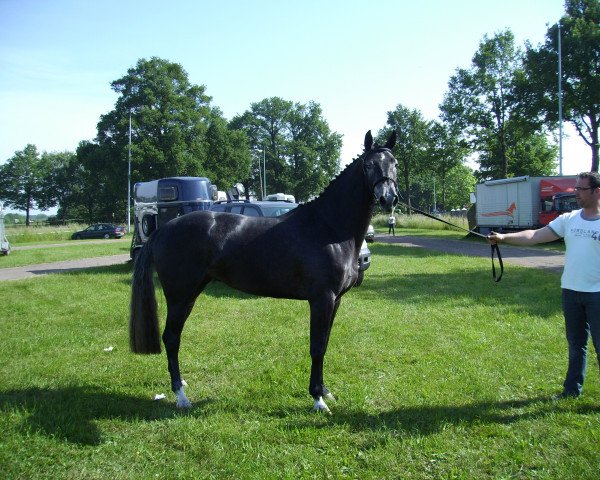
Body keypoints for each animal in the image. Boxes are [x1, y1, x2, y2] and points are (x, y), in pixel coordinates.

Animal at [129, 130, 396, 412]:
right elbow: (317, 347)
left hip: (192, 293)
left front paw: (325, 390)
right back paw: (181, 396)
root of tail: (164, 229)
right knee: (171, 338)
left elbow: (324, 343)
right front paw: (317, 399)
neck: (328, 228)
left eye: (395, 163)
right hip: (180, 296)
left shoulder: (335, 301)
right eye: (369, 165)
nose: (388, 198)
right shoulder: (322, 300)